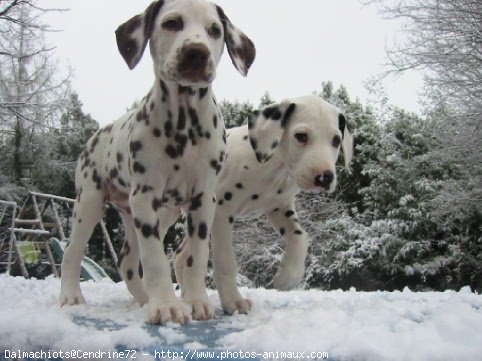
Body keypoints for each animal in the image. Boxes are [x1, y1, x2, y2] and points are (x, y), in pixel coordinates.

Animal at [59, 0, 256, 324]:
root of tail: (97, 134)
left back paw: (143, 300)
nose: (196, 52)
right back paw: (71, 296)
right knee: (72, 252)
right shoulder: (145, 195)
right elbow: (155, 259)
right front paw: (165, 306)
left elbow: (197, 257)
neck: (184, 124)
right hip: (90, 203)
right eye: (172, 23)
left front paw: (197, 302)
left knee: (127, 261)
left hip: (155, 214)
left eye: (215, 30)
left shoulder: (204, 200)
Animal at [174, 95, 354, 312]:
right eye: (301, 136)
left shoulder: (279, 209)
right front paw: (232, 300)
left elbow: (300, 237)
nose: (324, 177)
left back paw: (187, 298)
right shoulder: (222, 213)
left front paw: (287, 276)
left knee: (182, 256)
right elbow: (226, 262)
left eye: (336, 140)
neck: (274, 166)